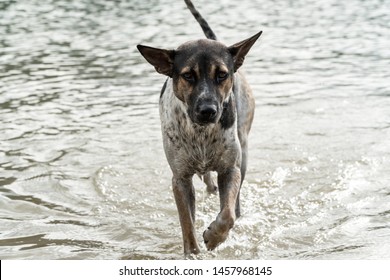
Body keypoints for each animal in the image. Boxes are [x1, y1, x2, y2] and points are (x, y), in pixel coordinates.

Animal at [137, 0, 262, 256]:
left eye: (222, 74)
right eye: (188, 76)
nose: (208, 110)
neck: (201, 133)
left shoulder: (230, 169)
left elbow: (227, 214)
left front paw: (214, 237)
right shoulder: (180, 179)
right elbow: (187, 224)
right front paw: (192, 254)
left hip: (243, 149)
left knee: (234, 202)